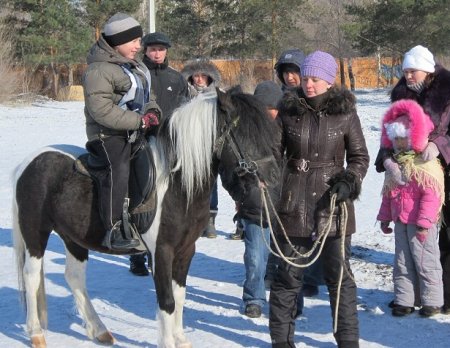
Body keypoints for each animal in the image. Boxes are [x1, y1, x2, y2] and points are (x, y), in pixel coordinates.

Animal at [12, 87, 280, 348]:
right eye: (245, 133)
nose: (273, 178)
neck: (177, 185)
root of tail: (27, 163)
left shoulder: (186, 250)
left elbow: (179, 296)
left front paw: (180, 339)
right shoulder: (161, 251)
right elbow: (167, 301)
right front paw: (168, 342)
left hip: (74, 237)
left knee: (75, 278)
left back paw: (100, 331)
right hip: (35, 232)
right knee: (31, 276)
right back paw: (36, 334)